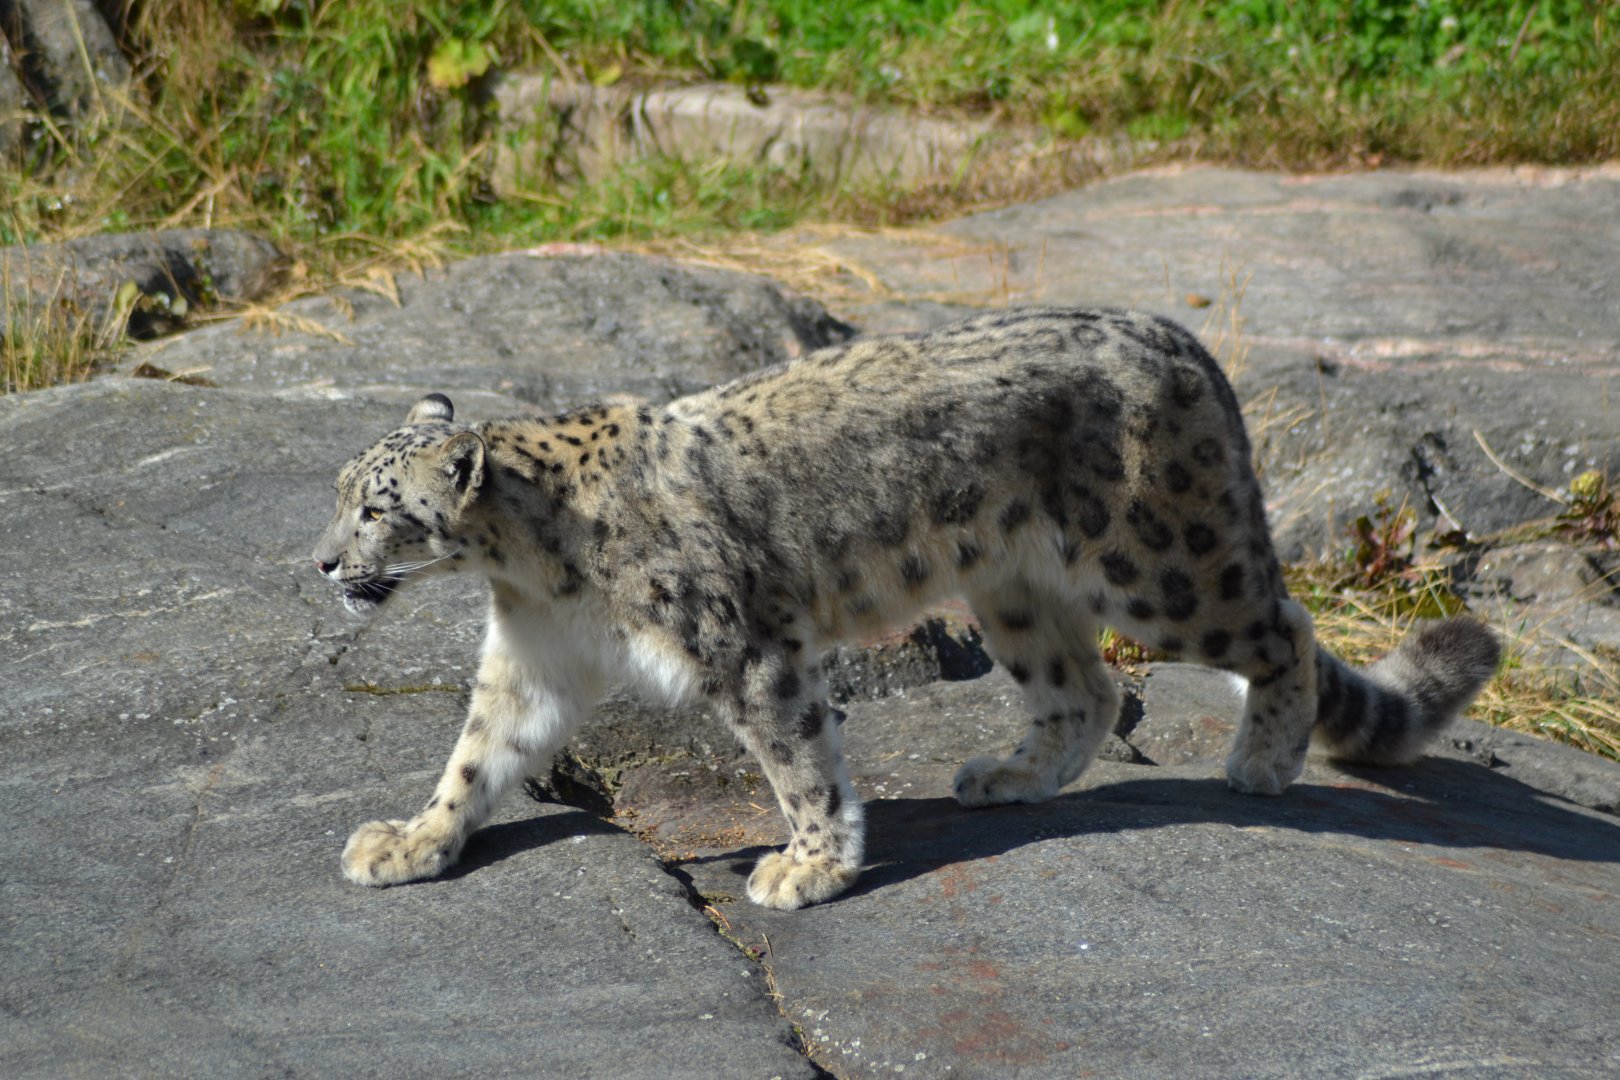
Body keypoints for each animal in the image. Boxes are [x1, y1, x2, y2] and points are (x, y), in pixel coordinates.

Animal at [312, 306, 1500, 910]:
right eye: (337, 492)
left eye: (377, 507)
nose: (323, 563)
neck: (533, 574)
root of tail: (1180, 337)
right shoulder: (535, 660)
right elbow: (477, 754)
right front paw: (413, 841)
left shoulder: (750, 650)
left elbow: (799, 759)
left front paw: (808, 865)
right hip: (1013, 586)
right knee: (1085, 685)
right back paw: (1011, 776)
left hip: (1162, 564)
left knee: (1282, 627)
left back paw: (1262, 759)